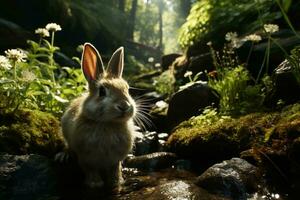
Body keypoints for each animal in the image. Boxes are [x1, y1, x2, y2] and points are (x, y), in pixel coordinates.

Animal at [61, 43, 136, 190]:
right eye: (102, 91)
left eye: (127, 89)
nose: (124, 106)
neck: (108, 123)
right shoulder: (86, 158)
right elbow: (90, 170)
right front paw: (95, 184)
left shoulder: (115, 161)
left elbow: (115, 170)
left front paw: (116, 182)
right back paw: (63, 156)